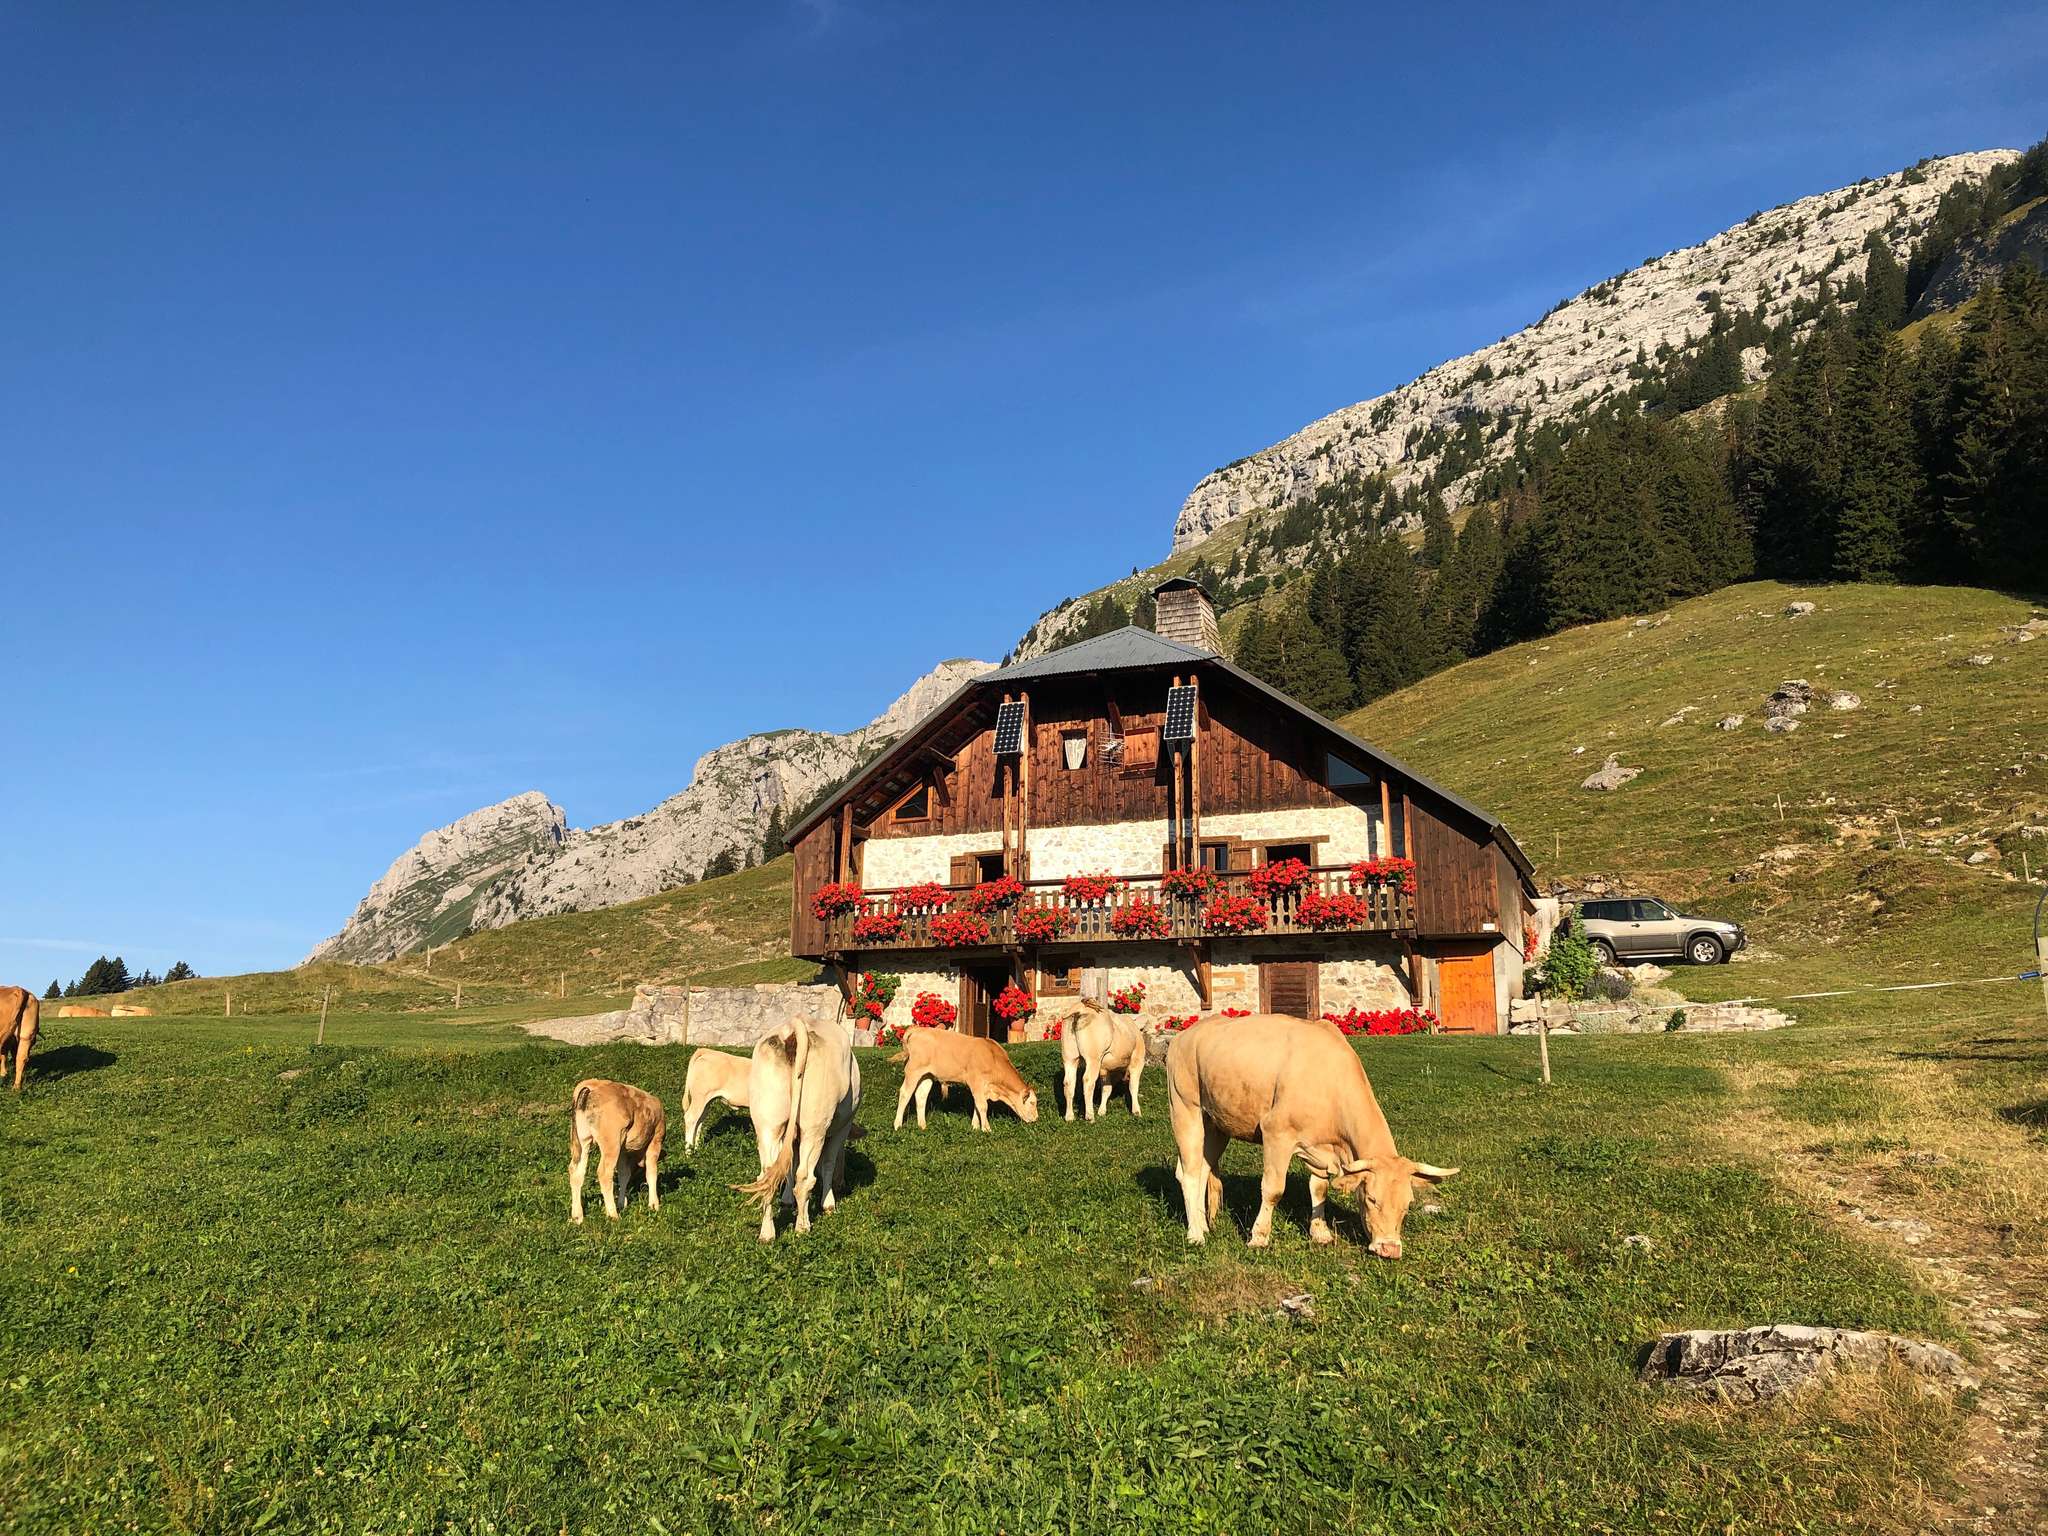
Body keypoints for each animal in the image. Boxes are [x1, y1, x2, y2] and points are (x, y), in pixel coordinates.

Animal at [567, 1078, 666, 1224]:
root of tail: (592, 1085)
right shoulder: (656, 1140)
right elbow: (651, 1172)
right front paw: (654, 1205)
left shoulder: (623, 1150)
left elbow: (624, 1174)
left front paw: (621, 1203)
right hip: (611, 1143)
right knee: (604, 1173)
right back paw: (613, 1215)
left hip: (582, 1140)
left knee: (576, 1172)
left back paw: (577, 1217)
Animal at [735, 1018, 861, 1242]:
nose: (843, 1184)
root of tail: (796, 1025)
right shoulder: (842, 1128)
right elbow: (827, 1163)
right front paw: (828, 1203)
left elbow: (790, 1166)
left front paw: (787, 1201)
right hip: (814, 1126)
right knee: (805, 1177)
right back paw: (802, 1226)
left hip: (767, 1122)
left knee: (767, 1175)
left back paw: (767, 1233)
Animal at [893, 1028, 1038, 1131]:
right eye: (1032, 1102)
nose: (1036, 1119)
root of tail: (917, 1029)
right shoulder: (976, 1082)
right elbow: (982, 1106)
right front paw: (986, 1129)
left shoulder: (984, 1088)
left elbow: (978, 1105)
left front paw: (975, 1127)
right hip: (913, 1071)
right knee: (905, 1093)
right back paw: (897, 1125)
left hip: (926, 1075)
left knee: (921, 1096)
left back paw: (922, 1126)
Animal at [1165, 1013, 1457, 1257]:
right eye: (1372, 1198)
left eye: (1408, 1204)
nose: (1390, 1249)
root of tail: (1186, 1034)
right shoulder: (1276, 1132)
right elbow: (1273, 1189)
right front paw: (1258, 1237)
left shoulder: (1321, 1147)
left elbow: (1319, 1188)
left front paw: (1320, 1233)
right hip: (1185, 1107)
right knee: (1188, 1173)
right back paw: (1195, 1235)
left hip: (1217, 1123)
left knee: (1202, 1168)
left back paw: (1203, 1225)